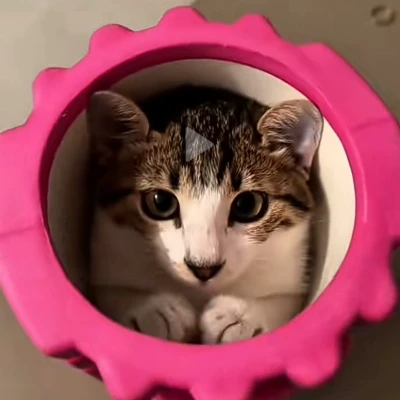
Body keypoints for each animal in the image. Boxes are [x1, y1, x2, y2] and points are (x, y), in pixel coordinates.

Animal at [87, 85, 323, 344]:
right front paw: (150, 311)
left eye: (248, 205)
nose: (204, 269)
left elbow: (287, 304)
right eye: (161, 202)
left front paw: (242, 317)